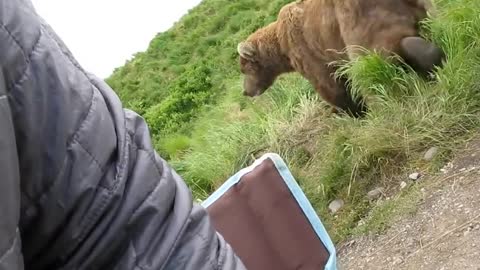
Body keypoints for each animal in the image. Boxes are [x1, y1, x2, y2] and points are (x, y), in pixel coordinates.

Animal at [238, 0, 444, 117]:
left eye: (245, 70)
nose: (246, 91)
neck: (282, 48)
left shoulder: (308, 52)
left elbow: (331, 85)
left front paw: (354, 111)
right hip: (418, 6)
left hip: (353, 18)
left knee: (371, 63)